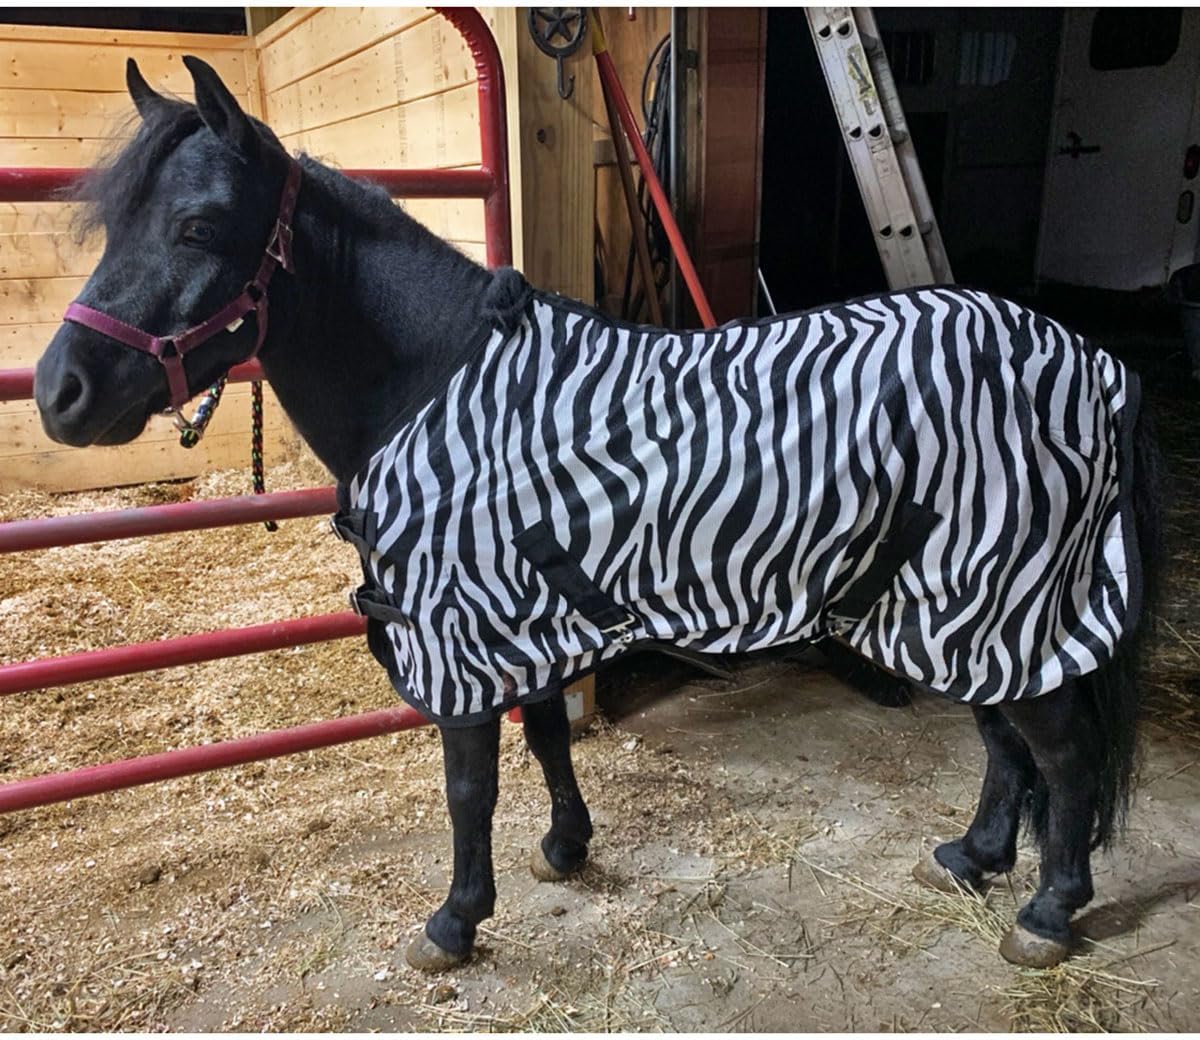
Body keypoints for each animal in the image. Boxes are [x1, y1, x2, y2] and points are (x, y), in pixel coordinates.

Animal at [33, 57, 1161, 973]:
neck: (435, 386)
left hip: (998, 592)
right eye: (116, 225)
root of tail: (1093, 363)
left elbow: (470, 786)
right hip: (943, 601)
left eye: (198, 227)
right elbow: (545, 737)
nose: (58, 393)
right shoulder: (521, 612)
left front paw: (455, 922)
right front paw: (566, 848)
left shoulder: (466, 626)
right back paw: (972, 858)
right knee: (1006, 738)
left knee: (1061, 749)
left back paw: (1049, 912)